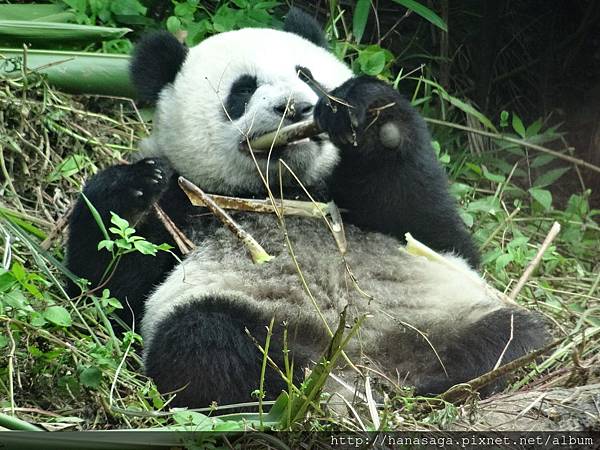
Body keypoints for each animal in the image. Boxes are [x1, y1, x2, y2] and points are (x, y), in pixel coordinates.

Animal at [65, 8, 548, 410]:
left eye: (305, 73)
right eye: (243, 90)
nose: (296, 108)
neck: (285, 192)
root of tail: (371, 369)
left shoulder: (356, 198)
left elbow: (435, 231)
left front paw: (372, 117)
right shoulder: (187, 204)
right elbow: (105, 290)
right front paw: (130, 189)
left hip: (440, 316)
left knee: (519, 335)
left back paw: (447, 379)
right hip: (255, 317)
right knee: (204, 342)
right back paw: (299, 385)